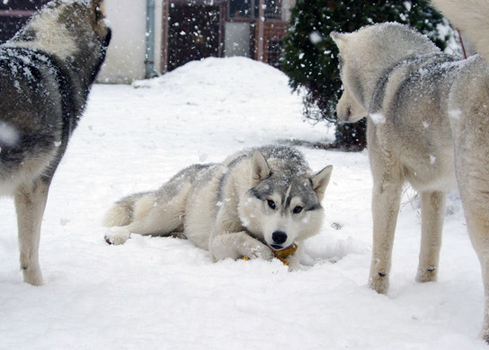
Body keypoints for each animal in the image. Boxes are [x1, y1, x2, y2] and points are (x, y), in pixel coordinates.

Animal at [103, 145, 332, 268]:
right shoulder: (217, 243)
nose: (279, 236)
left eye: (298, 209)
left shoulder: (296, 243)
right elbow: (241, 238)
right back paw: (115, 235)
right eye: (271, 203)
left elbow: (294, 259)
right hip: (166, 214)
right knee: (135, 227)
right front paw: (261, 252)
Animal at [332, 0, 489, 342]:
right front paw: (425, 287)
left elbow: (381, 251)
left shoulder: (385, 184)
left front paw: (374, 293)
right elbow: (430, 249)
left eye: (340, 74)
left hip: (475, 203)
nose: (337, 113)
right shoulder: (434, 191)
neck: (395, 66)